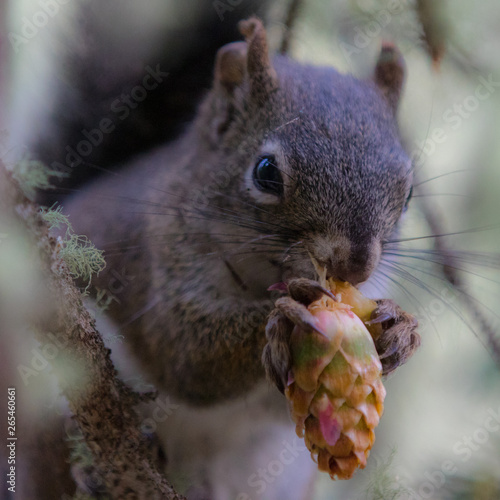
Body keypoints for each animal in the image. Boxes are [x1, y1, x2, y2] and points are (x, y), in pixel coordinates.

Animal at [58, 15, 420, 500]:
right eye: (266, 173)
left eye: (408, 193)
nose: (356, 267)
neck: (262, 275)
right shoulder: (155, 264)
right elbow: (184, 352)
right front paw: (282, 315)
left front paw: (400, 329)